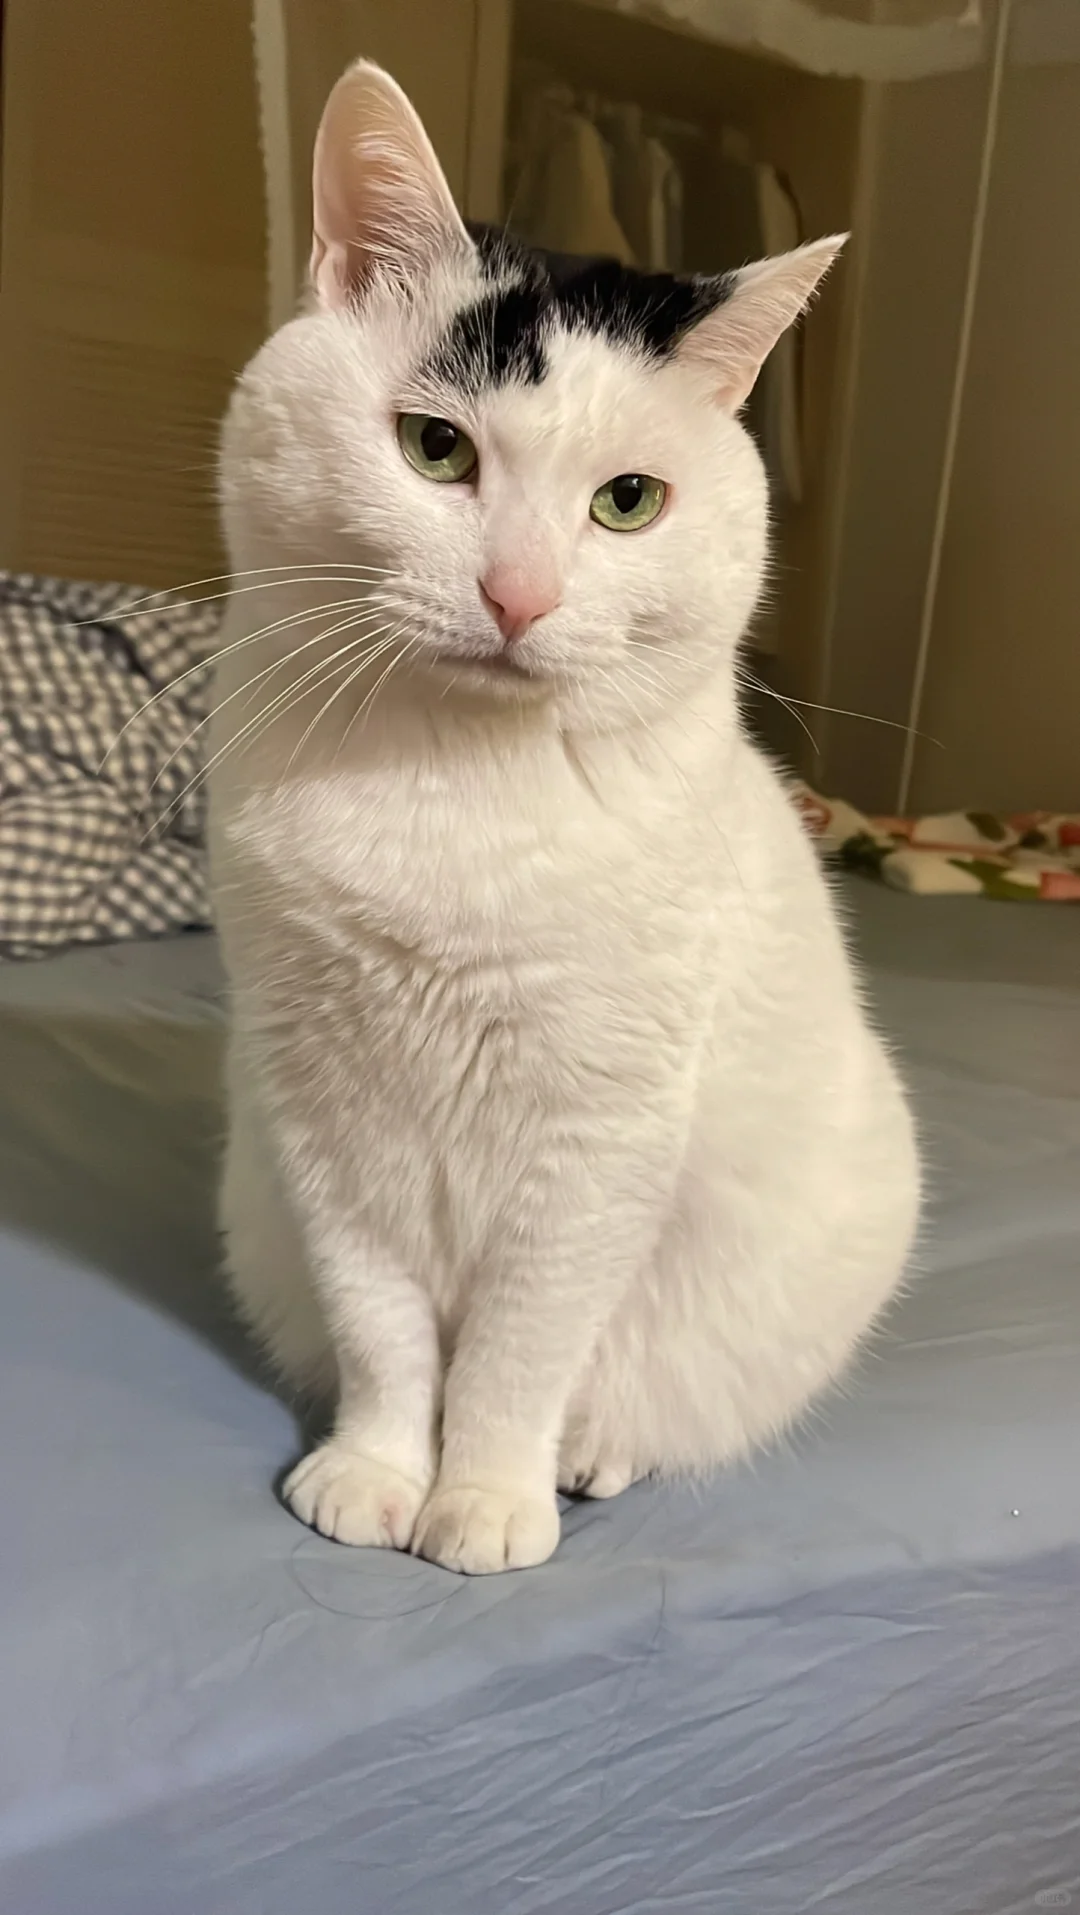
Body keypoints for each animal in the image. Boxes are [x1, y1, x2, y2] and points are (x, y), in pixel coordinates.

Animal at [209, 59, 920, 1575]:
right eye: (435, 448)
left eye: (628, 502)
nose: (519, 595)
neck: (452, 789)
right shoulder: (319, 1109)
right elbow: (383, 1325)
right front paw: (376, 1471)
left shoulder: (597, 1140)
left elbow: (518, 1350)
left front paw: (480, 1498)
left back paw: (591, 1451)